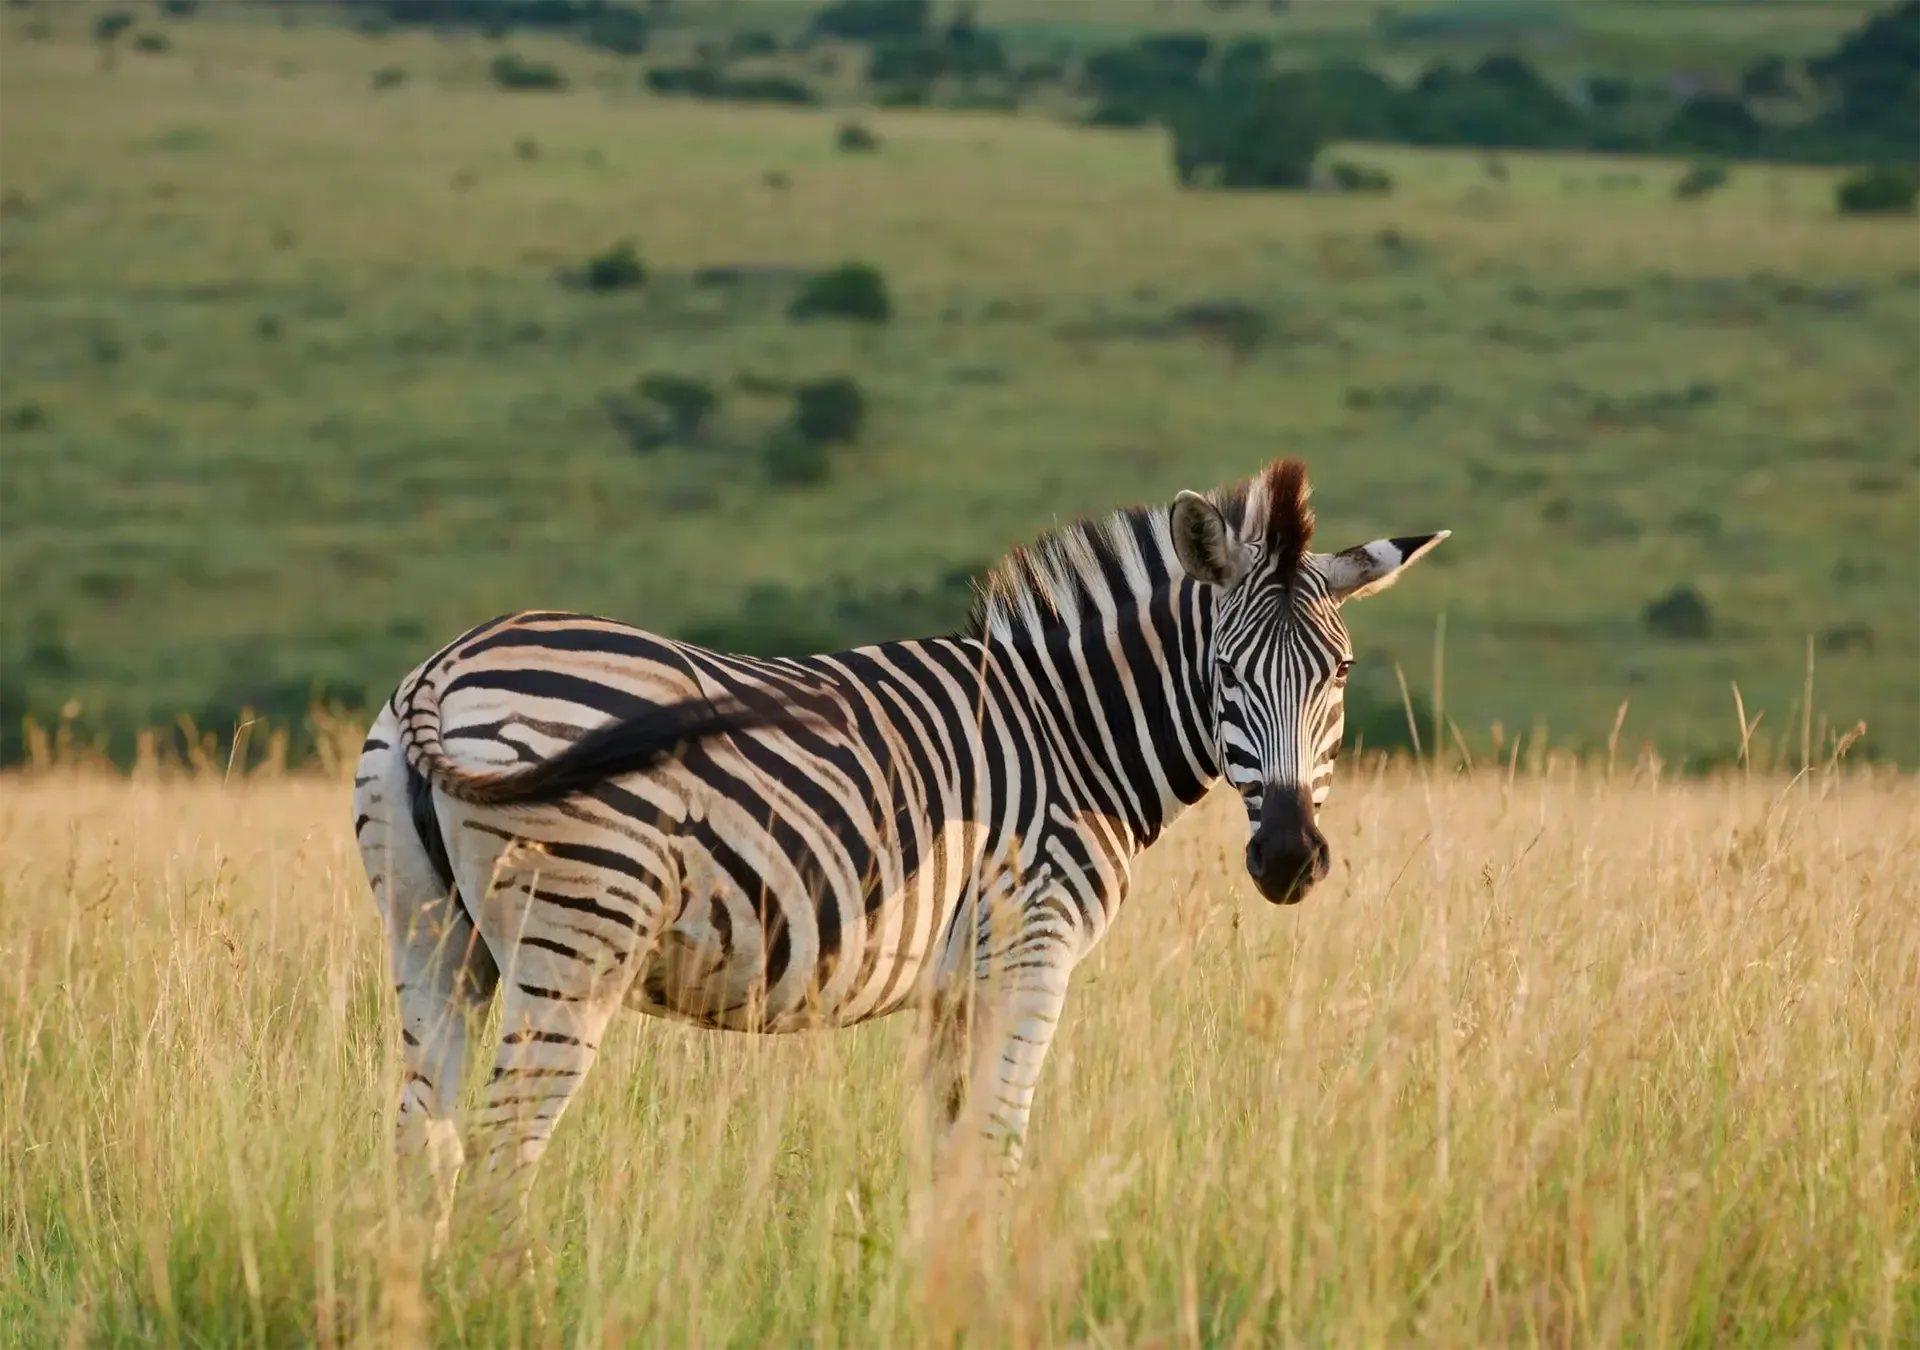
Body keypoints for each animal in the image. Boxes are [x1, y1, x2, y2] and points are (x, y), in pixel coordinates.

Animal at [351, 457, 1447, 1256]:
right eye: (1225, 672)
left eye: (1340, 672)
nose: (1290, 860)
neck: (1071, 732)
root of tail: (444, 667)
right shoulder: (1032, 948)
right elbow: (1000, 1143)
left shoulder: (956, 982)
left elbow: (949, 1152)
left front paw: (936, 1279)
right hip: (577, 941)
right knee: (501, 1151)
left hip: (433, 944)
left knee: (422, 1145)